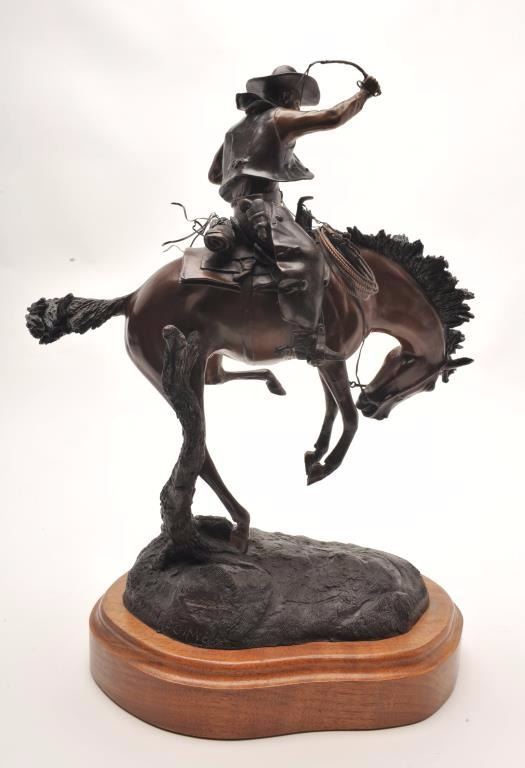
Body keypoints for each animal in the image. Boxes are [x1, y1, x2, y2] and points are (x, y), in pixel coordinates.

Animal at [26, 226, 473, 552]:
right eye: (428, 387)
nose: (374, 407)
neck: (361, 289)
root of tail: (133, 298)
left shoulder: (324, 360)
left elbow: (331, 408)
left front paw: (313, 454)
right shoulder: (332, 360)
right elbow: (346, 418)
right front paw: (324, 467)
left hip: (202, 362)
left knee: (214, 396)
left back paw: (273, 384)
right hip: (180, 375)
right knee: (200, 448)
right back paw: (240, 525)